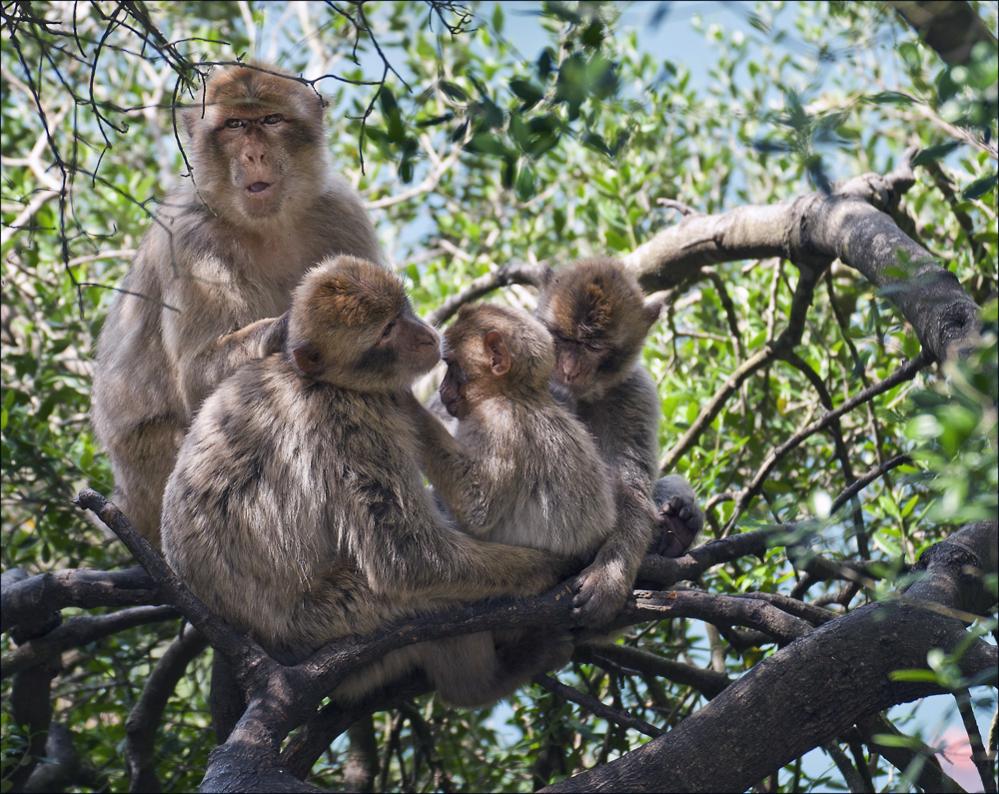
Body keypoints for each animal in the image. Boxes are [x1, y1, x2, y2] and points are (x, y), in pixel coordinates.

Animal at [91, 62, 383, 549]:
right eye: (233, 125)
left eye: (270, 120)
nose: (253, 156)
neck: (269, 226)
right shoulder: (191, 240)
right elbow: (196, 376)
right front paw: (291, 330)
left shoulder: (343, 214)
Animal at [161, 256, 573, 708]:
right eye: (387, 331)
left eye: (402, 311)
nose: (425, 336)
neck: (325, 380)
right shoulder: (351, 420)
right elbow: (407, 557)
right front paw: (545, 568)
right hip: (337, 617)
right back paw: (484, 681)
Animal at [535, 257, 705, 626]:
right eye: (561, 337)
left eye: (593, 347)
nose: (568, 370)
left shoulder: (634, 394)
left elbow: (631, 490)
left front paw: (608, 578)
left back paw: (676, 529)